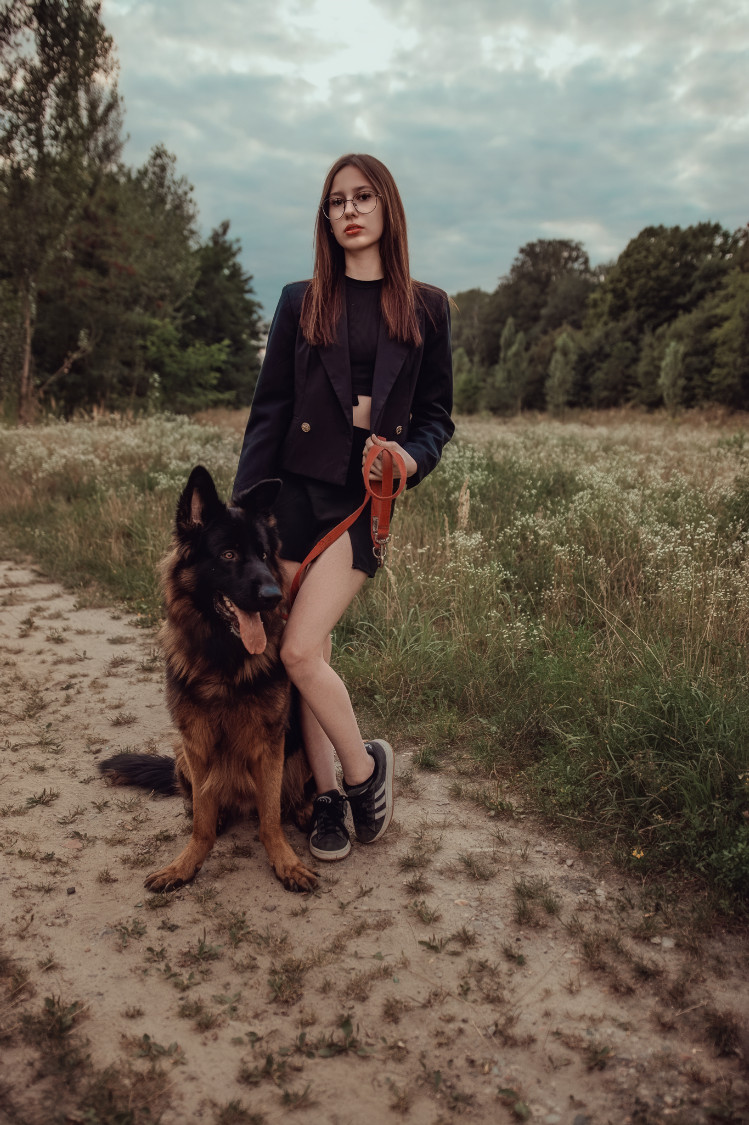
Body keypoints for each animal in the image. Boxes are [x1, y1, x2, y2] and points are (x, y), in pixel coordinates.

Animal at [99, 465, 317, 893]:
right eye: (228, 555)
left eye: (263, 555)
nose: (273, 596)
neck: (224, 659)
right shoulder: (195, 742)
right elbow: (201, 820)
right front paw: (186, 864)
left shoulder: (269, 744)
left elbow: (270, 818)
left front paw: (286, 862)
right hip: (181, 752)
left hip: (295, 749)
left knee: (289, 798)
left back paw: (303, 811)